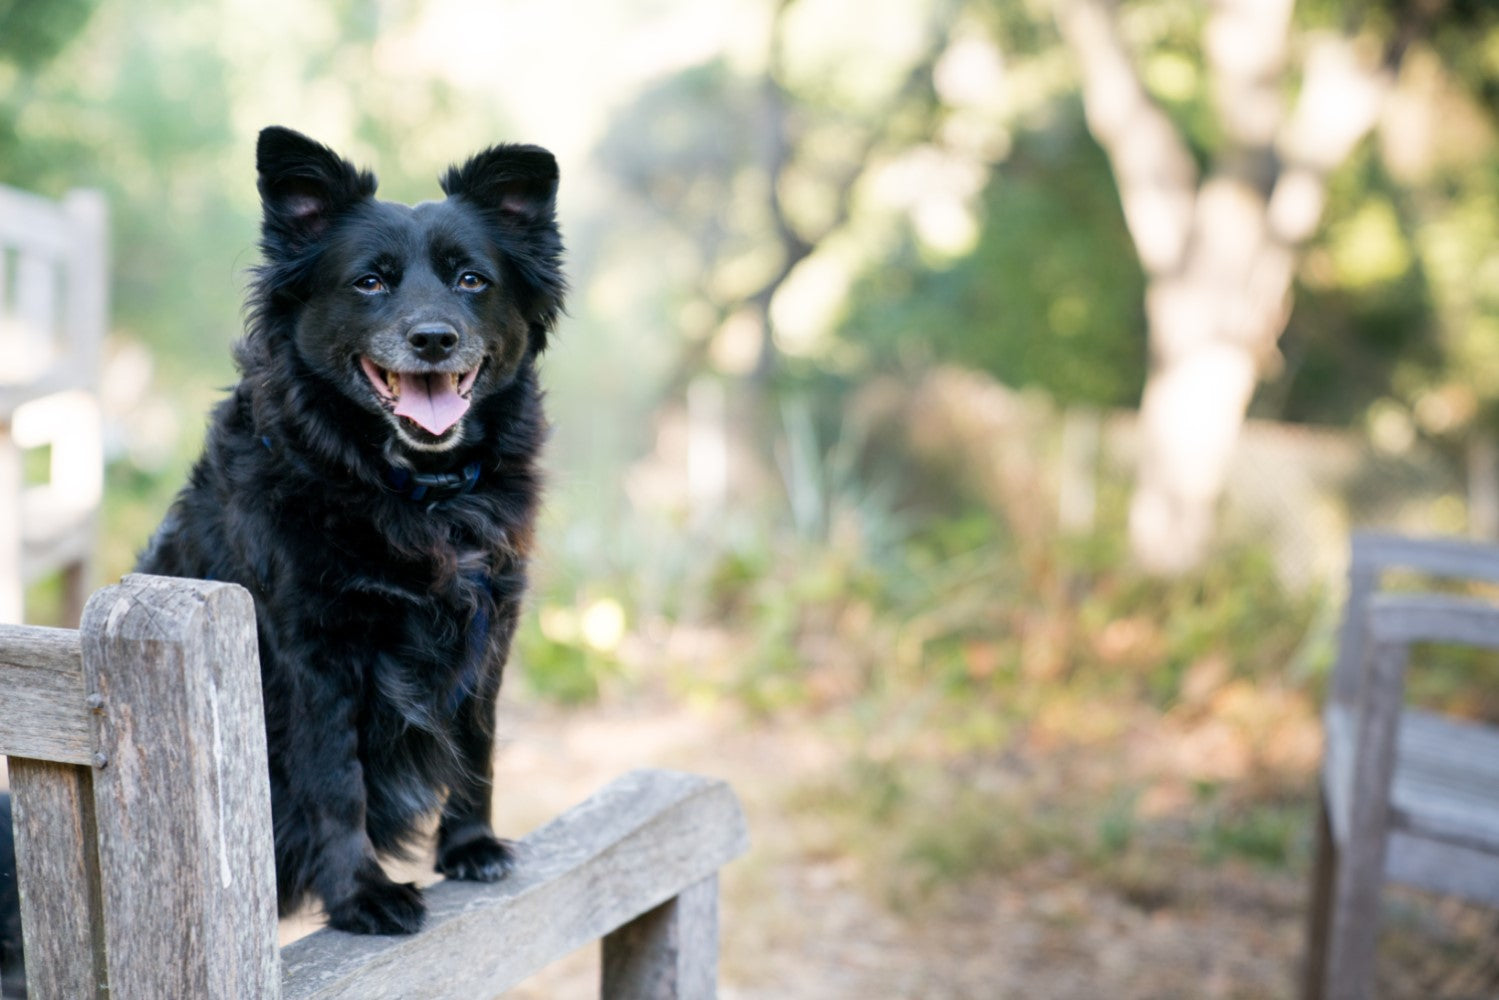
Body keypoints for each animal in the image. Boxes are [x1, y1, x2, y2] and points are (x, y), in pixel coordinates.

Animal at [131, 127, 560, 941]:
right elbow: (337, 781)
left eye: (472, 280)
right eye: (369, 283)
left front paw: (470, 845)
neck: (413, 494)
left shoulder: (490, 628)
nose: (433, 339)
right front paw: (362, 893)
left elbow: (478, 743)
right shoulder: (315, 651)